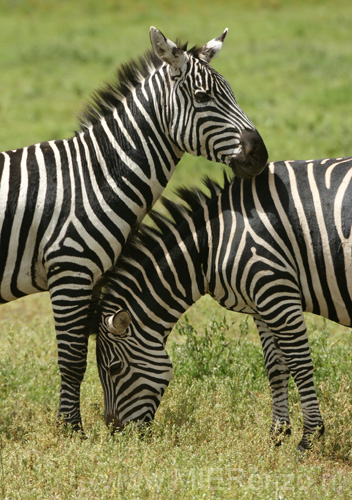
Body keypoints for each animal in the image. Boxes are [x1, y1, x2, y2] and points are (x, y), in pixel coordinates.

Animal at [0, 27, 268, 432]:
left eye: (232, 93)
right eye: (203, 97)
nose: (261, 156)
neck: (95, 178)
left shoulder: (92, 276)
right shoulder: (71, 271)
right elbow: (73, 359)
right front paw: (72, 432)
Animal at [96, 158, 352, 452]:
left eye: (115, 368)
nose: (116, 434)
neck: (209, 245)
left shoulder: (276, 290)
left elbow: (299, 365)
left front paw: (309, 438)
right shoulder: (261, 306)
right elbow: (276, 368)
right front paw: (276, 436)